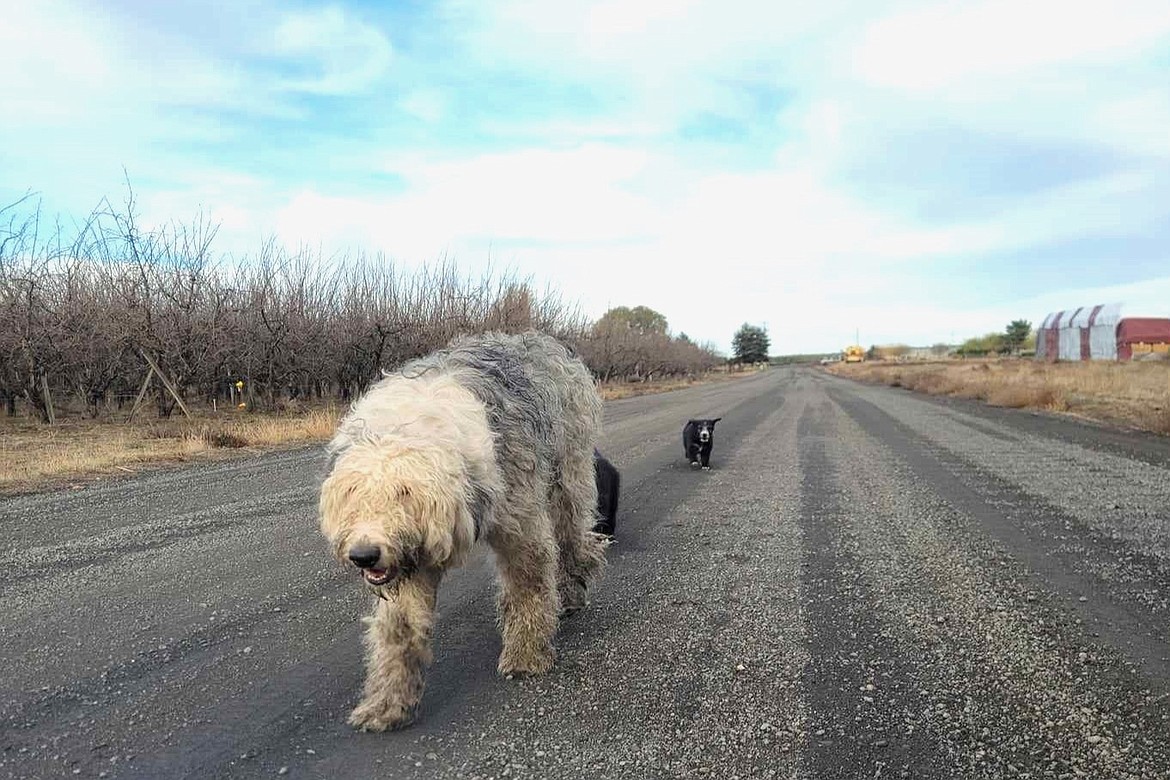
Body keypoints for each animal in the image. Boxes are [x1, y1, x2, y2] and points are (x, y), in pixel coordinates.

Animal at [320, 329, 613, 734]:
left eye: (404, 493)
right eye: (353, 494)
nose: (364, 555)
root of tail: (540, 338)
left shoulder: (519, 523)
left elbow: (528, 584)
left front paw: (525, 655)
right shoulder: (409, 564)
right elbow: (401, 629)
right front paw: (387, 703)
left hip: (568, 475)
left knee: (573, 537)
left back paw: (573, 589)